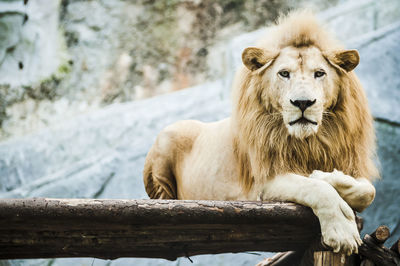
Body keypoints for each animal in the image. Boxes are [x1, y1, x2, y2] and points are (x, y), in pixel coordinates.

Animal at [143, 10, 378, 256]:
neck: (308, 141)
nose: (303, 102)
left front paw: (326, 175)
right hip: (167, 138)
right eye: (284, 73)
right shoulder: (264, 183)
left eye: (319, 73)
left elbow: (367, 191)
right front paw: (342, 232)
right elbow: (316, 189)